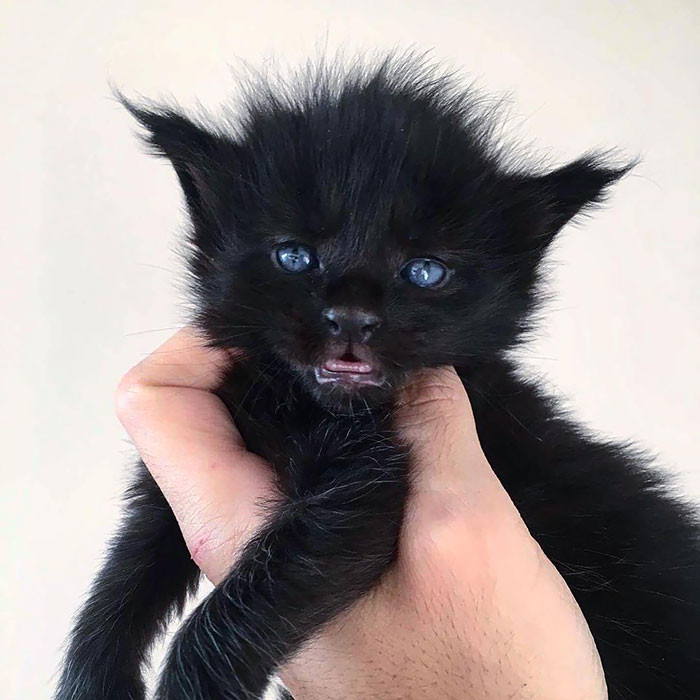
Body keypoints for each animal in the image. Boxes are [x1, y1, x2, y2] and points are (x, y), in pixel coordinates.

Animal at [57, 54, 696, 700]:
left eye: (425, 271)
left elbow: (244, 602)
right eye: (294, 256)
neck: (305, 409)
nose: (351, 318)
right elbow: (126, 569)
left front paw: (192, 685)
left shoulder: (364, 493)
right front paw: (94, 676)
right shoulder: (183, 462)